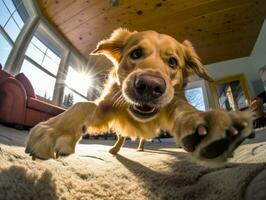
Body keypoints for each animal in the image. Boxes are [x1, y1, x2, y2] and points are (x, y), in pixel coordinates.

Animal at [25, 28, 254, 162]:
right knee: (121, 136)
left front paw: (207, 126)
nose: (149, 86)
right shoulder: (107, 106)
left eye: (173, 62)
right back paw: (115, 149)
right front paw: (55, 130)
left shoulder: (174, 102)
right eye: (136, 53)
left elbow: (185, 110)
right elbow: (84, 104)